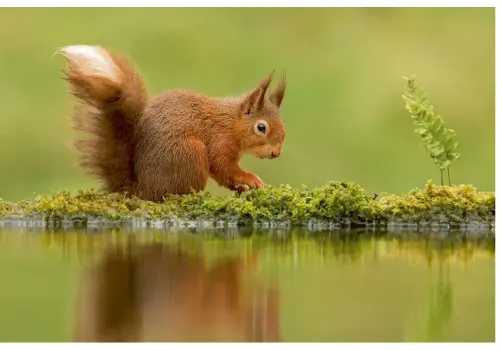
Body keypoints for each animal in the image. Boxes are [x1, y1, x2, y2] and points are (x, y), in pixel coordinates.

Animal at [56, 45, 286, 202]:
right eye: (261, 127)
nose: (276, 154)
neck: (232, 123)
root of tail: (142, 190)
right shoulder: (220, 141)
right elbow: (223, 167)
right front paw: (250, 179)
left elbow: (222, 174)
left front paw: (241, 187)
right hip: (191, 152)